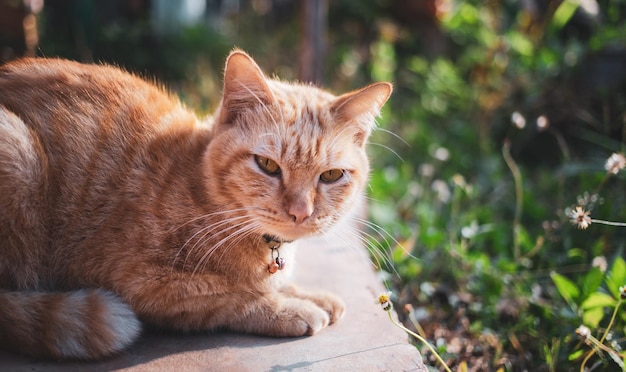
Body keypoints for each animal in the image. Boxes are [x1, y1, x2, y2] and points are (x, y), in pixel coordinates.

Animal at [0, 50, 390, 358]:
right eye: (267, 165)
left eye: (331, 175)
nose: (300, 213)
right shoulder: (142, 283)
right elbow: (233, 294)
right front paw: (290, 307)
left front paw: (309, 294)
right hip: (19, 152)